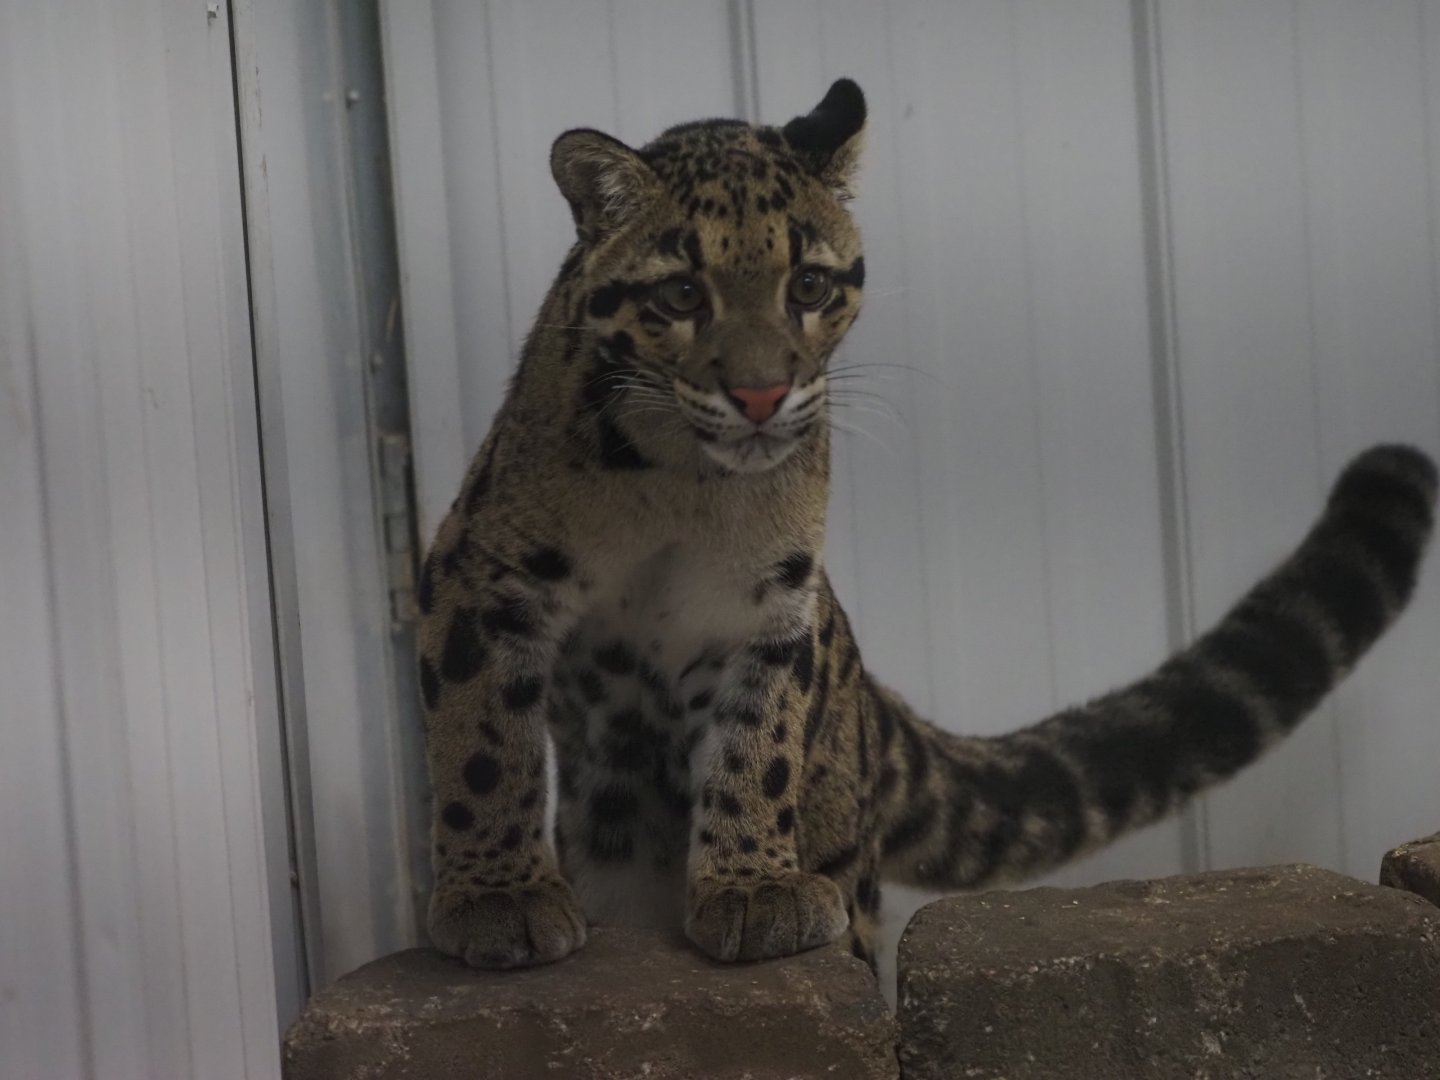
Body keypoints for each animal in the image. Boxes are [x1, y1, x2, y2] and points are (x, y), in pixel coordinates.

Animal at [416, 78, 1437, 973]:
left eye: (809, 286)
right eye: (680, 296)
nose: (760, 394)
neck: (685, 483)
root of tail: (870, 702)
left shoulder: (776, 606)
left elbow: (757, 743)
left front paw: (753, 886)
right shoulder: (480, 578)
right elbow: (483, 747)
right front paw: (499, 899)